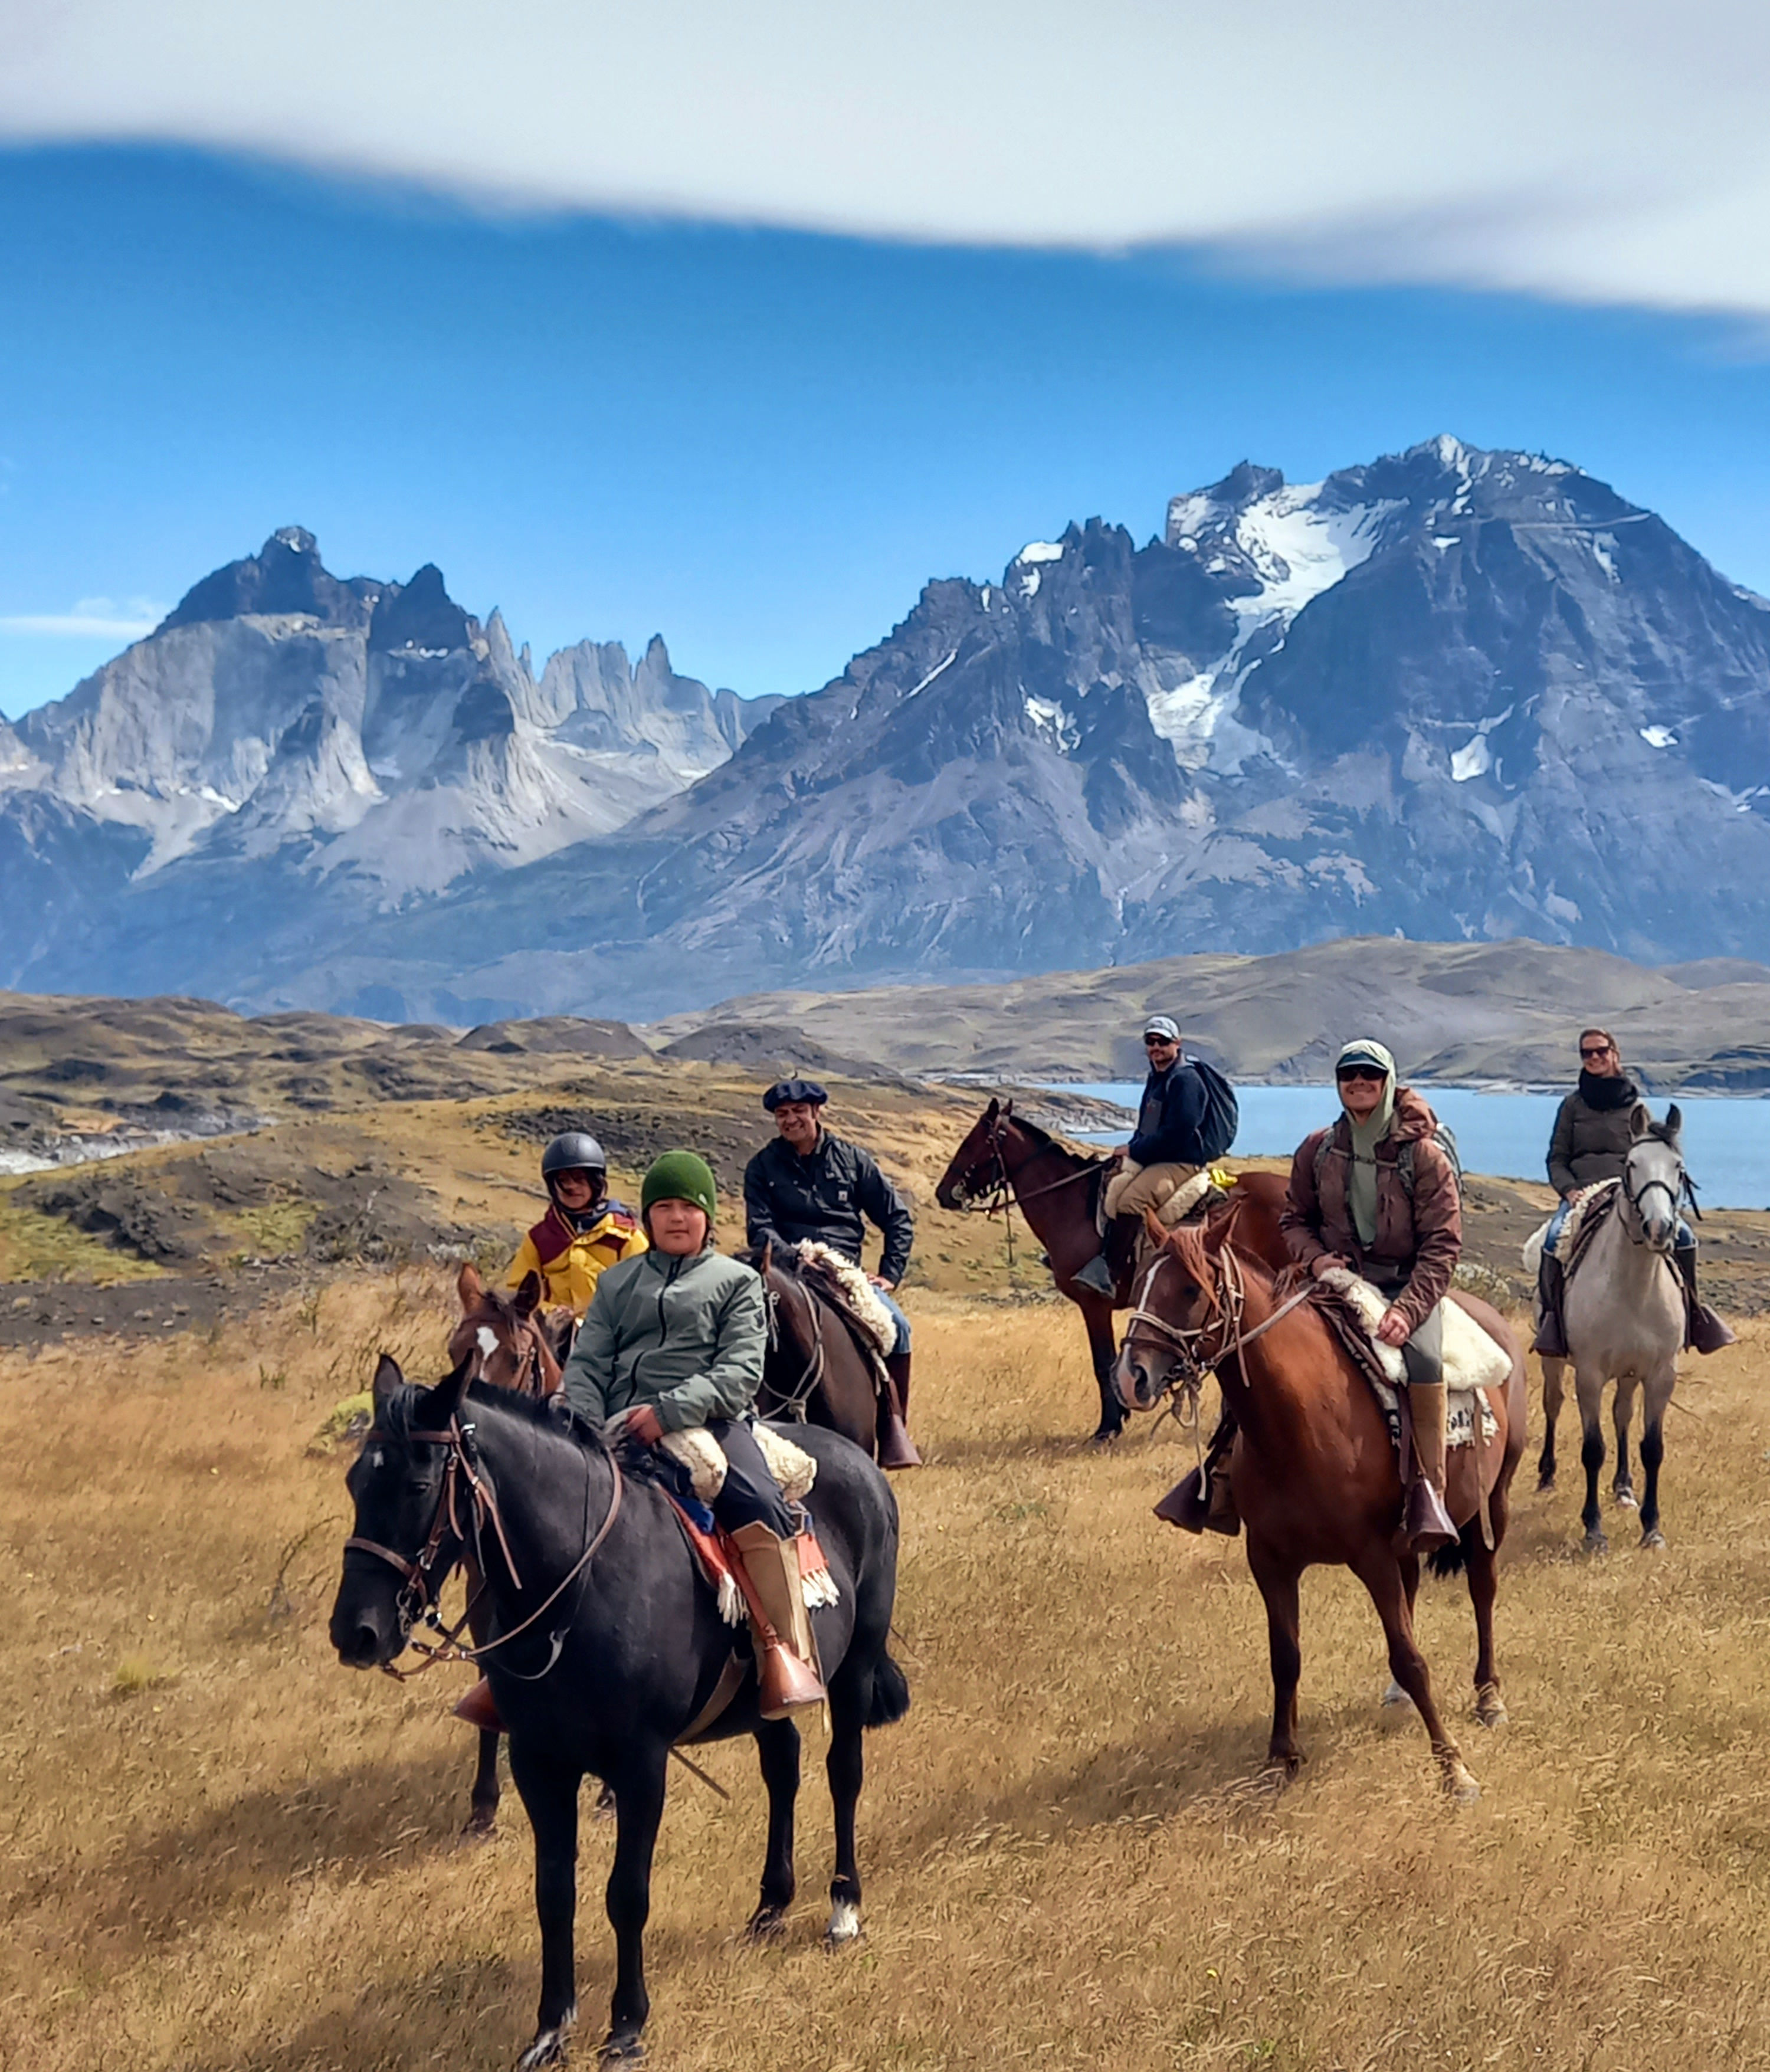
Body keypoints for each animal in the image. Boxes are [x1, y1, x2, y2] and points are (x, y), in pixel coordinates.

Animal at [332, 1350, 916, 2063]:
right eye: (357, 1481)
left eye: (418, 1485)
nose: (356, 1632)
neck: (579, 1586)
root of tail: (857, 1462)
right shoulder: (538, 1762)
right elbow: (553, 1893)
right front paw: (550, 2029)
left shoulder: (641, 1765)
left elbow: (626, 1893)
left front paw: (627, 2026)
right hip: (768, 1702)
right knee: (784, 1769)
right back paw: (771, 1906)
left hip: (856, 1667)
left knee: (843, 1775)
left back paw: (843, 1906)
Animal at [940, 1102, 1284, 1442]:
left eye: (972, 1143)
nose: (942, 1194)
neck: (1072, 1206)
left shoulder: (1094, 1304)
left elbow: (1103, 1363)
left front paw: (1108, 1426)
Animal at [1119, 1210, 1533, 1798]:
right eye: (1140, 1285)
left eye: (1190, 1290)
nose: (1130, 1377)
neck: (1300, 1422)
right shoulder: (1270, 1560)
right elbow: (1286, 1657)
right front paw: (1281, 1758)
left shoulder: (1371, 1555)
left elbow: (1411, 1656)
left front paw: (1454, 1768)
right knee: (1414, 1586)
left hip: (1491, 1504)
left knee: (1483, 1589)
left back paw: (1489, 1696)